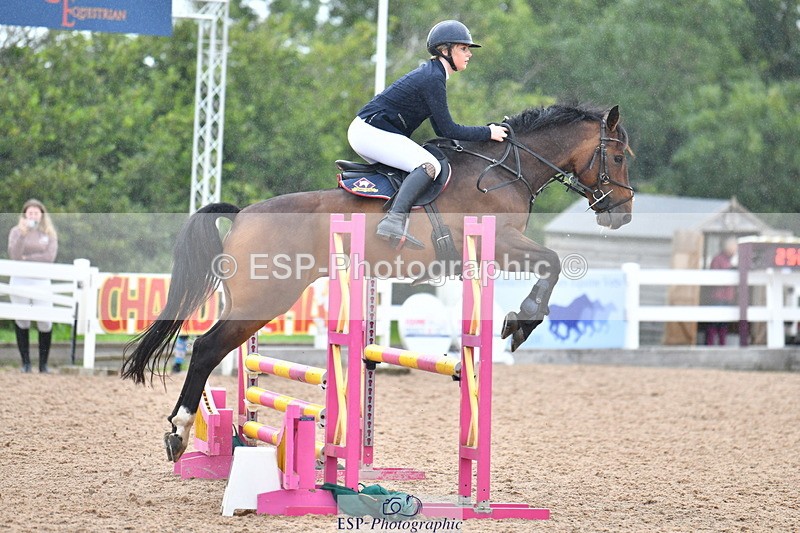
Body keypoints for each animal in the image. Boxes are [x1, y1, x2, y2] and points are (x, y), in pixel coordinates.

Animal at [121, 103, 635, 462]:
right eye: (616, 155)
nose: (621, 215)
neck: (506, 171)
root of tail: (243, 213)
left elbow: (549, 266)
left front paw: (519, 322)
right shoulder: (502, 242)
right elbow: (553, 263)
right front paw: (522, 322)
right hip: (263, 300)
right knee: (207, 349)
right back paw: (179, 430)